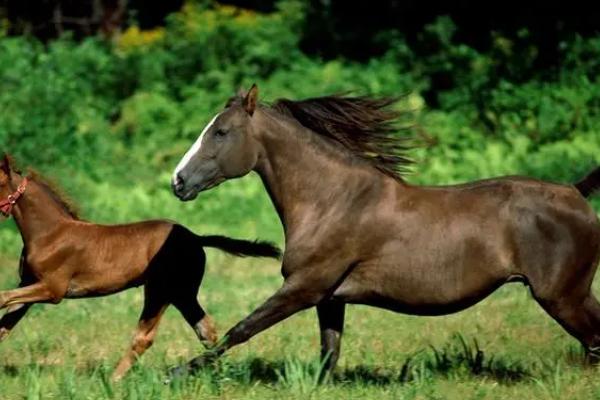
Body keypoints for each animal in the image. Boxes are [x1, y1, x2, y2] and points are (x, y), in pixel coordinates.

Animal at [0, 155, 282, 380]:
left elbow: (3, 297)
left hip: (160, 290)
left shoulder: (52, 289)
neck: (49, 233)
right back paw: (215, 373)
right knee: (207, 331)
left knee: (145, 337)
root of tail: (195, 237)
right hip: (183, 293)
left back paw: (113, 380)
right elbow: (5, 322)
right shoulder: (30, 285)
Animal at [169, 83, 600, 378]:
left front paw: (178, 371)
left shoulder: (304, 287)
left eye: (221, 132)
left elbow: (241, 328)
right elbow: (328, 354)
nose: (178, 181)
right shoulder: (330, 298)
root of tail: (576, 191)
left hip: (561, 296)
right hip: (573, 295)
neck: (333, 201)